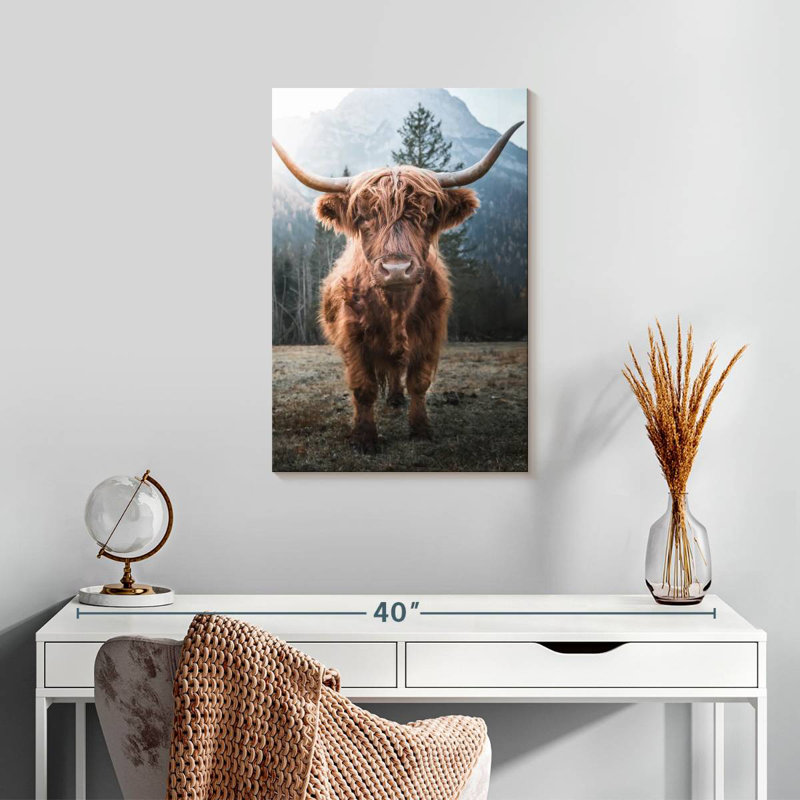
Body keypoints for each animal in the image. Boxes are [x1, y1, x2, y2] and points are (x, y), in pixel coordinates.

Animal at [272, 121, 523, 453]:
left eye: (427, 215)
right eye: (363, 217)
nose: (396, 269)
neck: (395, 307)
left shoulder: (429, 333)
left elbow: (418, 382)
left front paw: (420, 428)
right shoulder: (353, 337)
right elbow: (363, 388)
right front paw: (365, 437)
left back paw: (395, 398)